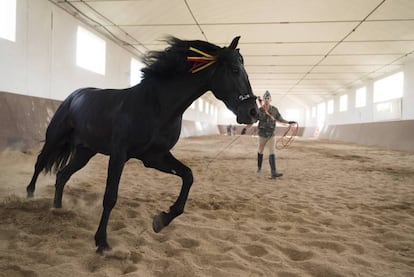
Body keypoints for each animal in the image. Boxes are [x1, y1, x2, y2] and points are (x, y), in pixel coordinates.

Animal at [25, 36, 258, 252]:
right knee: (40, 163)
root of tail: (74, 96)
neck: (156, 107)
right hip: (55, 139)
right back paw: (29, 196)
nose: (253, 112)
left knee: (62, 175)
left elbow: (188, 176)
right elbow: (110, 196)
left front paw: (161, 220)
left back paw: (57, 209)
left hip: (85, 152)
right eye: (235, 69)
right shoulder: (119, 155)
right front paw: (102, 242)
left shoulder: (155, 157)